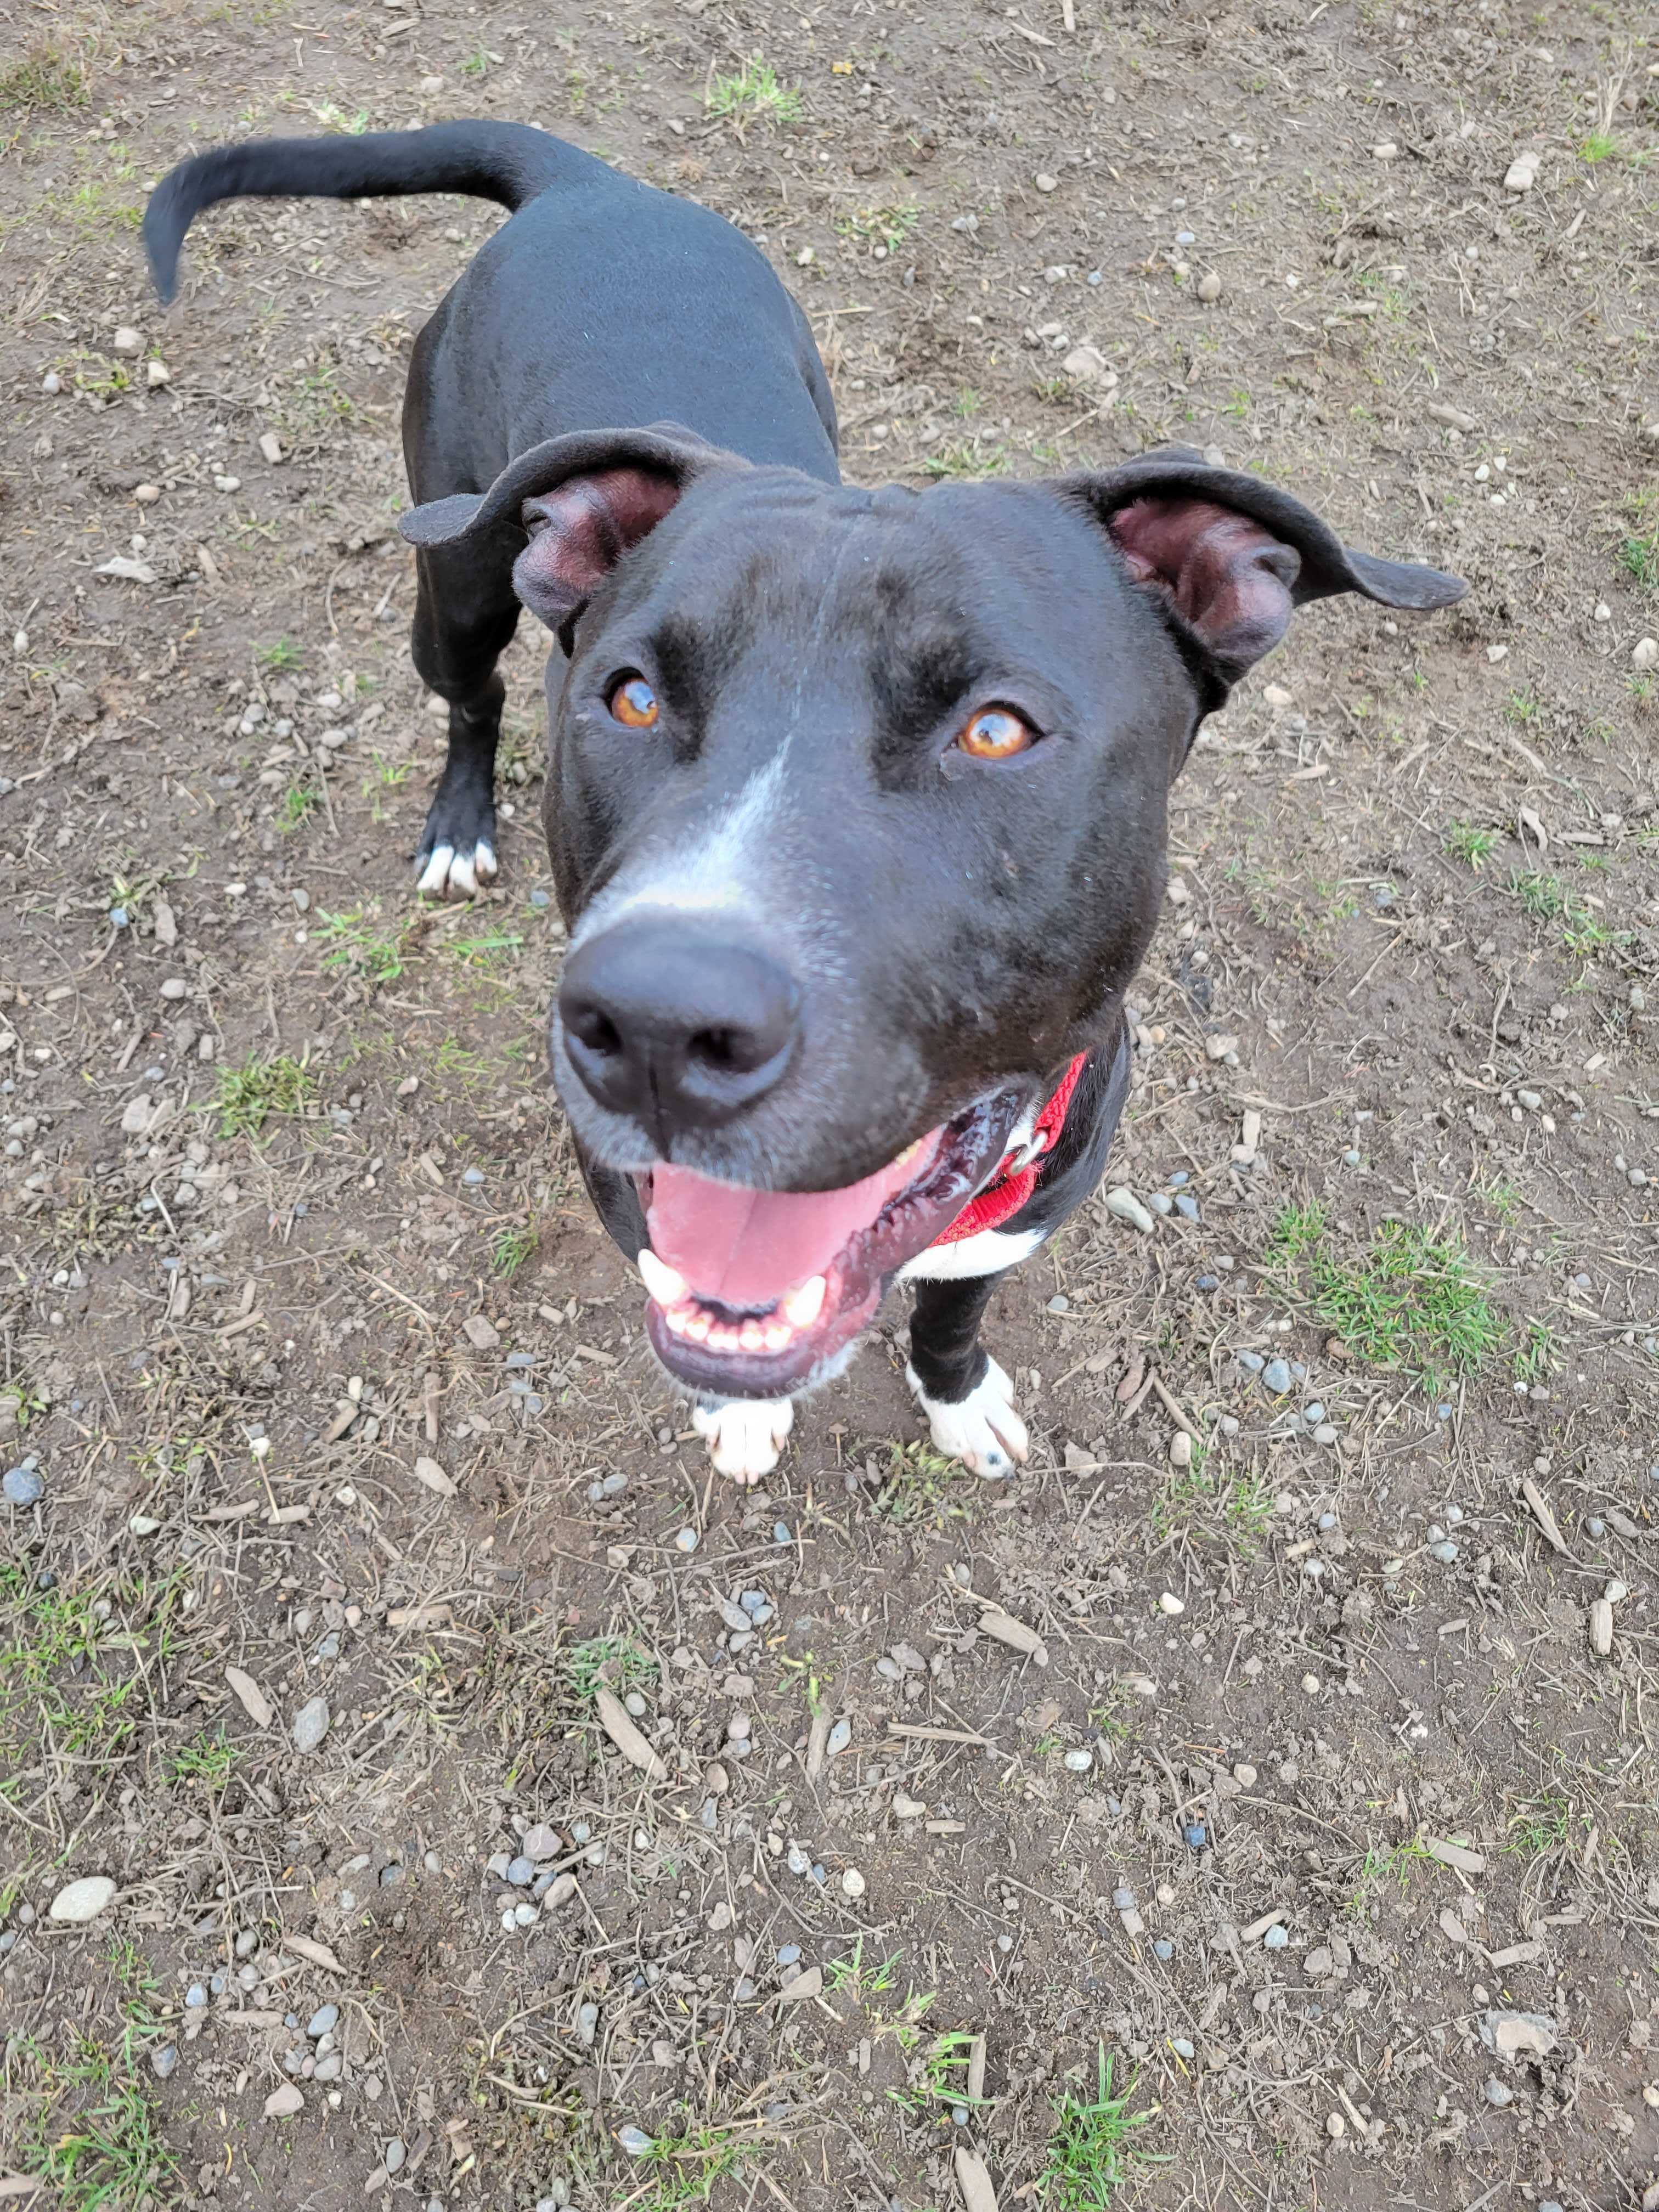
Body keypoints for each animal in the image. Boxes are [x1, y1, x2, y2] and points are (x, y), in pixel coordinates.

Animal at [146, 116, 1469, 1469]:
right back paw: (460, 825)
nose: (661, 1025)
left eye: (996, 730)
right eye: (631, 697)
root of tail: (590, 186)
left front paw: (957, 1395)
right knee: (473, 696)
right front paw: (744, 1414)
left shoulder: (1020, 1218)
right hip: (456, 580)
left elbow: (947, 1314)